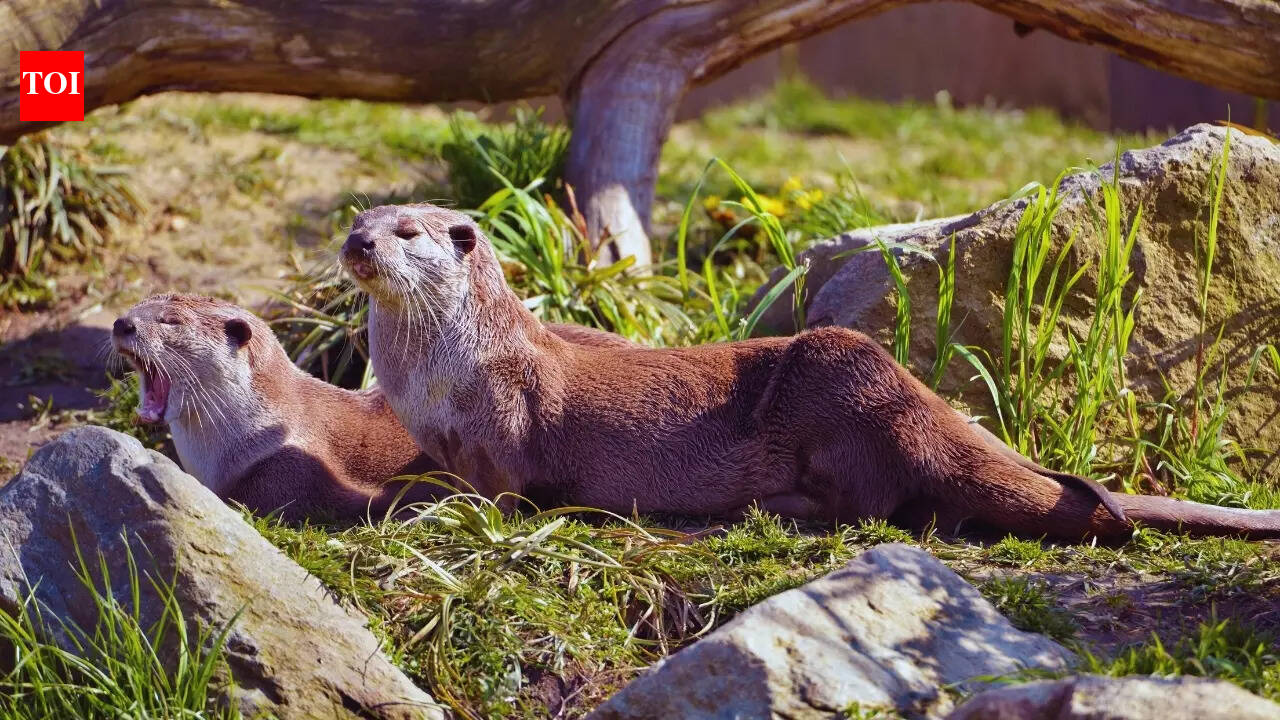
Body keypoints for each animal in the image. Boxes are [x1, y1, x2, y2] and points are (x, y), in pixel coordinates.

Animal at [339, 203, 1280, 540]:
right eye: (361, 220)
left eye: (410, 232)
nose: (359, 243)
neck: (441, 375)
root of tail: (921, 403)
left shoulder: (505, 418)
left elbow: (502, 490)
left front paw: (440, 508)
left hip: (840, 382)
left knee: (871, 504)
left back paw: (771, 506)